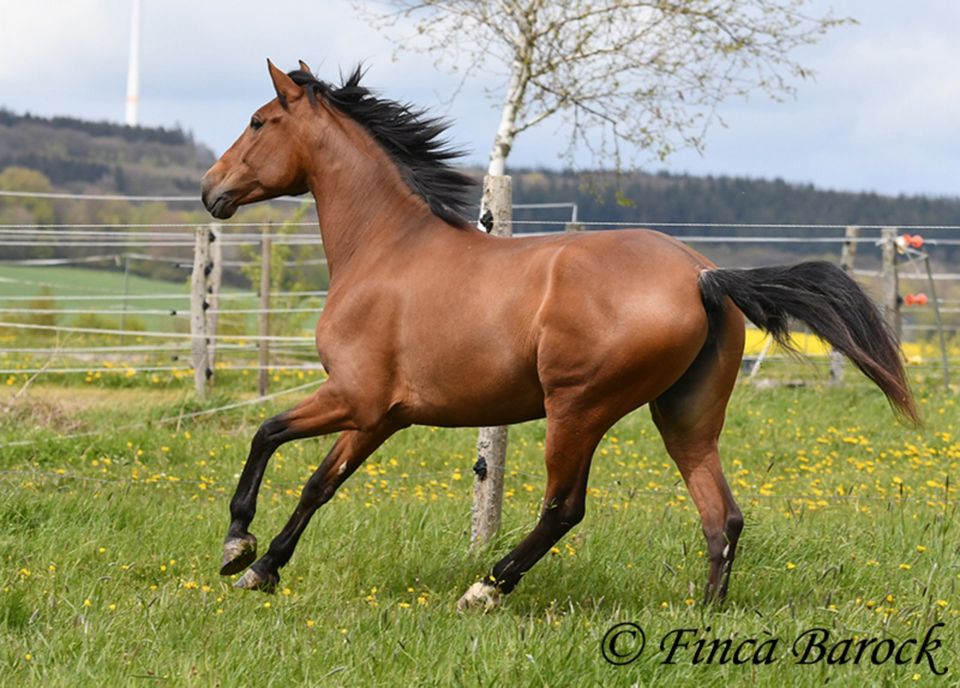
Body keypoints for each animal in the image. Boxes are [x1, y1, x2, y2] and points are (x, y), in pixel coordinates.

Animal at [201, 57, 916, 608]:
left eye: (258, 121)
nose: (211, 190)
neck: (386, 249)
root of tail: (701, 275)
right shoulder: (381, 416)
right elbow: (320, 484)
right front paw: (261, 570)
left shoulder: (355, 397)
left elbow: (267, 434)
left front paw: (237, 545)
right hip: (685, 415)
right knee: (722, 516)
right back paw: (705, 616)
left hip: (578, 407)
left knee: (564, 508)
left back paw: (487, 589)